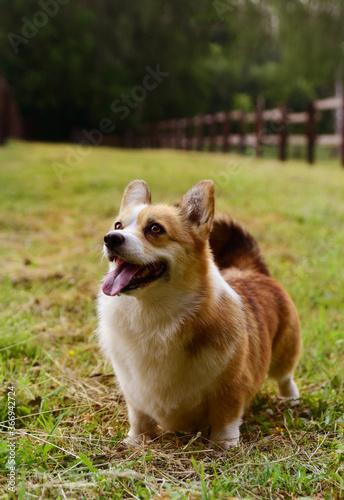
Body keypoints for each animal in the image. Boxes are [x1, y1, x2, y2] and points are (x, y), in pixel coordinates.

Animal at [97, 181, 300, 450]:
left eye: (155, 228)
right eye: (118, 225)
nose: (110, 238)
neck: (153, 313)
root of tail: (249, 269)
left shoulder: (231, 387)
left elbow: (226, 418)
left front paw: (224, 445)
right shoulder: (133, 389)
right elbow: (139, 418)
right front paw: (136, 441)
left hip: (283, 352)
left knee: (285, 377)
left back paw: (290, 400)